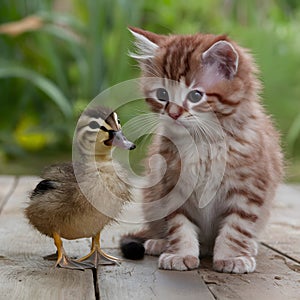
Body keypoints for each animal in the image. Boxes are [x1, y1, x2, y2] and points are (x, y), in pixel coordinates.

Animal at [120, 27, 284, 274]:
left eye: (195, 96)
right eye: (162, 95)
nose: (173, 113)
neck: (203, 143)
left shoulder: (248, 189)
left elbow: (236, 226)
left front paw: (232, 256)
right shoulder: (172, 187)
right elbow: (179, 225)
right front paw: (180, 254)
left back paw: (248, 247)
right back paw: (160, 242)